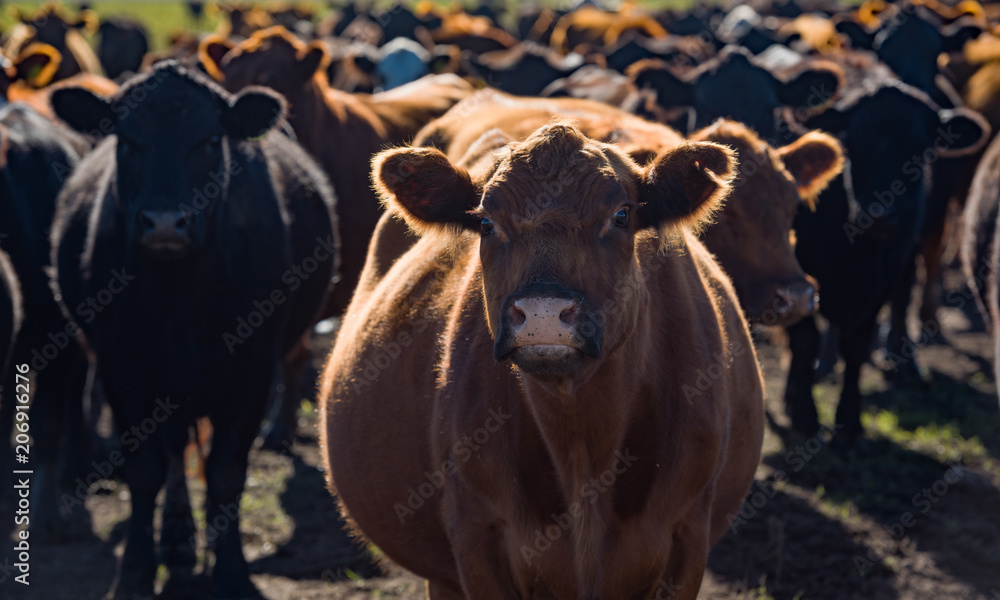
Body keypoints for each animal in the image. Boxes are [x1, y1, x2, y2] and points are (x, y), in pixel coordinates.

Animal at [49, 61, 338, 599]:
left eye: (207, 140)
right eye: (128, 140)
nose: (165, 223)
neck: (178, 296)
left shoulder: (250, 372)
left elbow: (225, 472)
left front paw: (233, 572)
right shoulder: (124, 371)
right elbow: (146, 471)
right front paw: (136, 571)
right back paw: (178, 543)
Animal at [321, 119, 764, 600]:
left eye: (621, 216)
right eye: (486, 222)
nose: (543, 314)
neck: (582, 449)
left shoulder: (687, 536)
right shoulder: (477, 537)